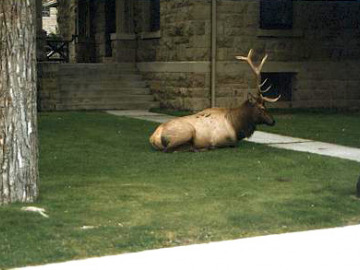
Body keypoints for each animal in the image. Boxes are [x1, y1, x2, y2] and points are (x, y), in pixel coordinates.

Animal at [149, 49, 282, 152]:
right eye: (261, 107)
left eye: (265, 105)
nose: (273, 121)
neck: (237, 126)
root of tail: (153, 137)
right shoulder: (225, 140)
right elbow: (231, 144)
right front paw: (209, 146)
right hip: (187, 132)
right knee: (169, 149)